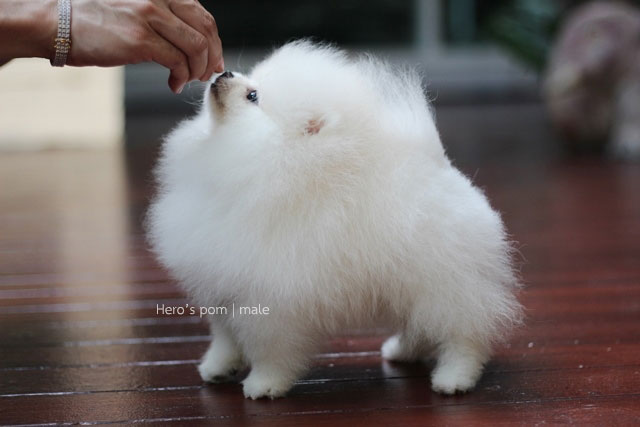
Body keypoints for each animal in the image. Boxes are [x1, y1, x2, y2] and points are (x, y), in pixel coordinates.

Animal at [147, 41, 522, 399]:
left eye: (254, 96)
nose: (224, 73)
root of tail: (445, 171)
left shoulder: (272, 301)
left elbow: (270, 351)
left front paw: (264, 385)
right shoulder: (221, 288)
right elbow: (225, 339)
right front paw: (217, 368)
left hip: (447, 284)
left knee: (464, 335)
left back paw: (454, 378)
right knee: (422, 325)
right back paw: (401, 351)